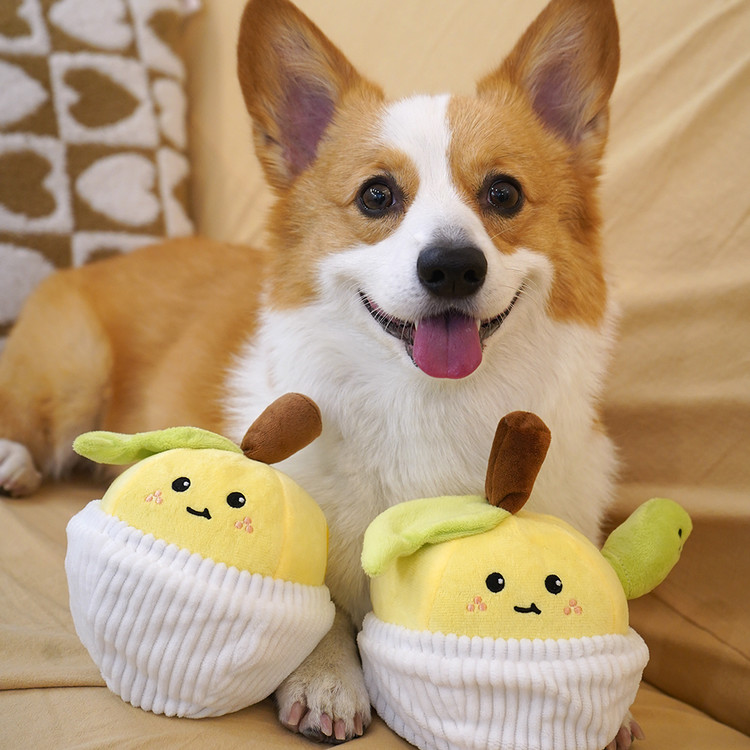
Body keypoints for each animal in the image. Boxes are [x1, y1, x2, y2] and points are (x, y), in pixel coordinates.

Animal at [0, 0, 639, 746]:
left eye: (503, 194)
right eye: (377, 196)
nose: (452, 266)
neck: (426, 402)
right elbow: (324, 603)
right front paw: (328, 678)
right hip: (72, 374)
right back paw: (14, 463)